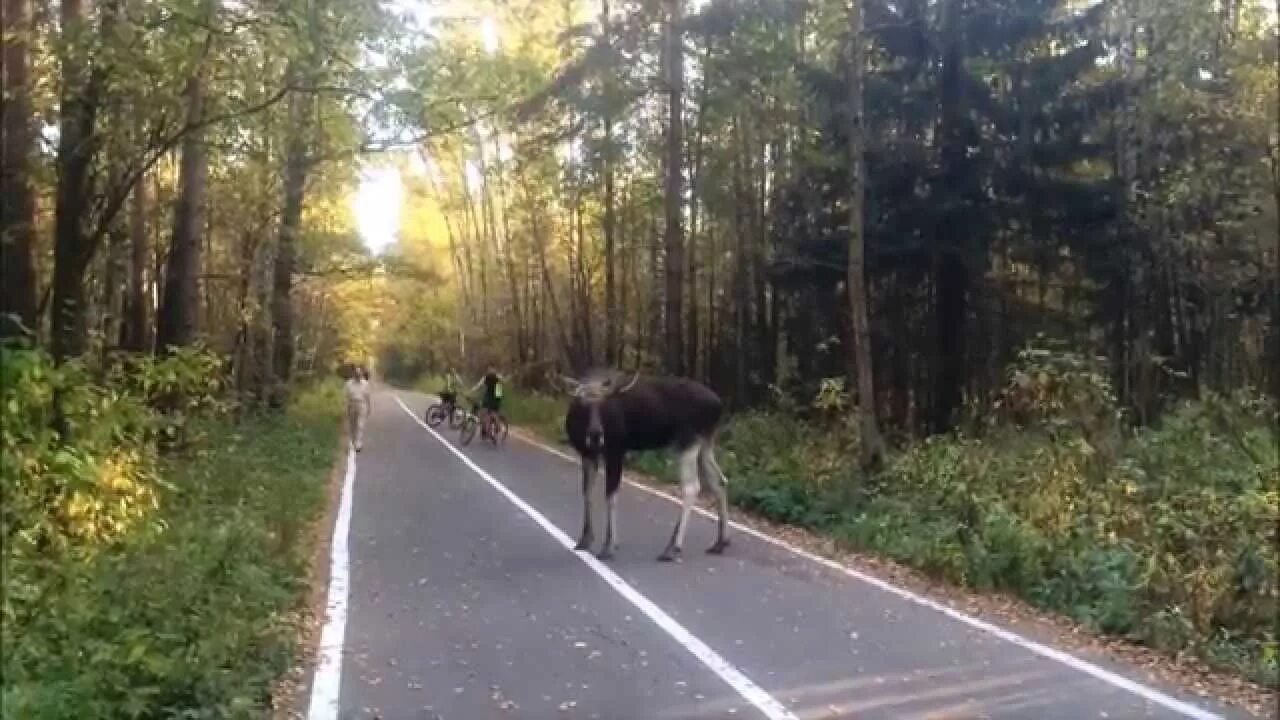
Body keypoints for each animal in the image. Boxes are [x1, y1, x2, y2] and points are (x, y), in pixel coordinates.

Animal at [563, 368, 732, 561]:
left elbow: (610, 496)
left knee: (692, 487)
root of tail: (719, 405)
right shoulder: (587, 454)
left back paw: (673, 548)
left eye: (604, 405)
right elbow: (587, 493)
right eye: (582, 405)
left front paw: (608, 546)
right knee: (720, 481)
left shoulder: (616, 451)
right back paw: (720, 542)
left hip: (687, 440)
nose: (596, 434)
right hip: (705, 442)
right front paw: (585, 539)